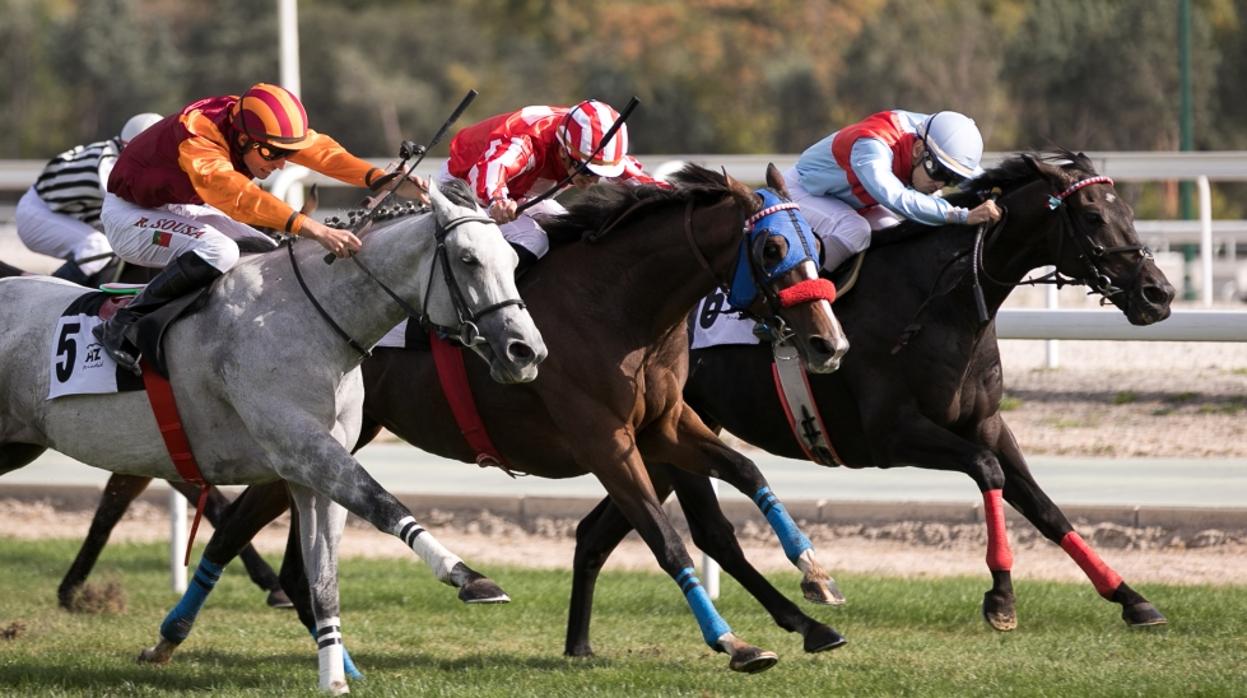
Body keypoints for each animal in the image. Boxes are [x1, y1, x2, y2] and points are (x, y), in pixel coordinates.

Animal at [0, 180, 546, 693]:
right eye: (468, 259)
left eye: (513, 259)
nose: (525, 351)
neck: (309, 318)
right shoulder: (303, 447)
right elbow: (384, 505)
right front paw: (469, 577)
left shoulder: (310, 474)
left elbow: (323, 576)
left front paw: (334, 676)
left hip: (19, 446)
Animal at [65, 165, 847, 673]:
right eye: (773, 246)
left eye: (815, 242)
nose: (827, 343)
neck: (618, 304)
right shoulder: (606, 440)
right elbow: (669, 536)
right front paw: (737, 641)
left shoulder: (663, 426)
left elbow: (743, 471)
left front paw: (815, 585)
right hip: (303, 435)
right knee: (232, 525)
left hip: (312, 439)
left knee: (245, 527)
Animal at [566, 151, 1177, 653]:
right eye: (1093, 217)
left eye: (1126, 210)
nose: (1160, 293)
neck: (940, 301)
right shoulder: (891, 434)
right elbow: (988, 473)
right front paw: (1001, 597)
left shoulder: (985, 422)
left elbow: (1044, 507)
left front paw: (1130, 597)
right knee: (705, 532)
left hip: (663, 437)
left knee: (595, 531)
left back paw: (579, 645)